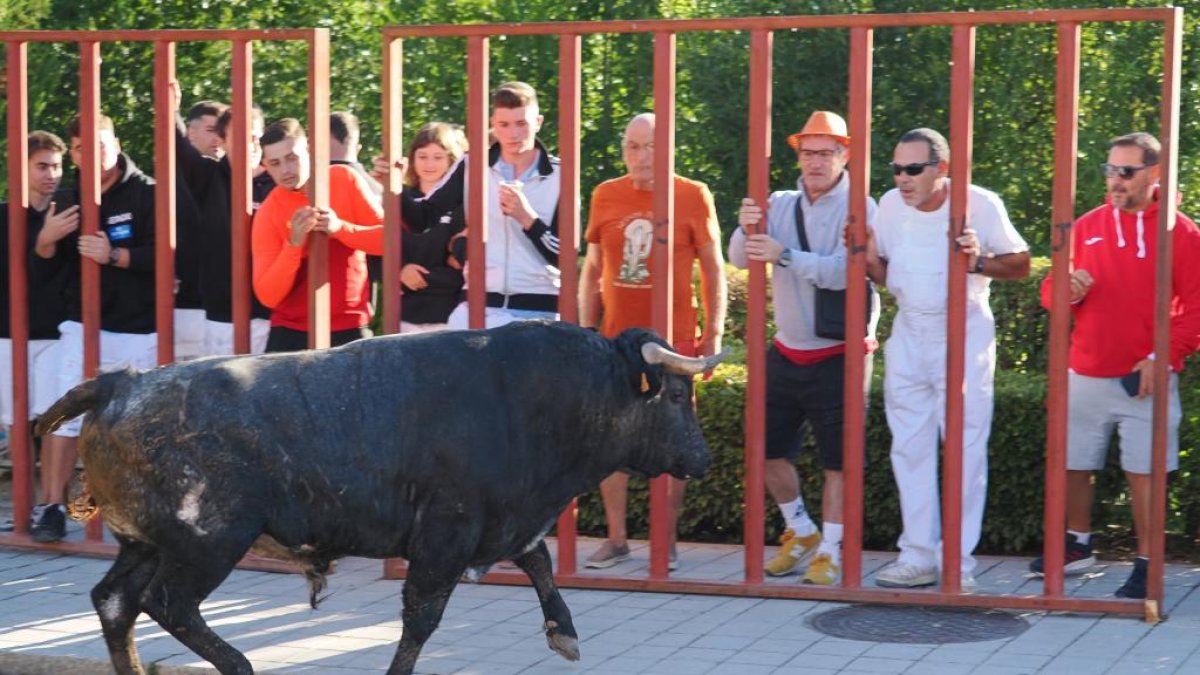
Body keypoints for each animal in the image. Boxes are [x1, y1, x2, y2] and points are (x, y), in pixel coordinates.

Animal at [35, 319, 720, 672]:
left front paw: (564, 630)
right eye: (677, 395)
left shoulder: (499, 522)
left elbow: (538, 559)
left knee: (115, 603)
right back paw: (238, 664)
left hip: (143, 543)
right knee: (168, 605)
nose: (702, 459)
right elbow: (421, 620)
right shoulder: (445, 536)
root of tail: (120, 384)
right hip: (208, 543)